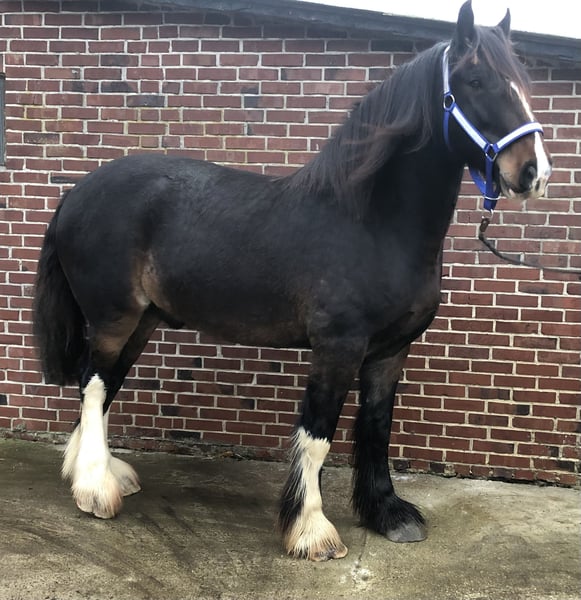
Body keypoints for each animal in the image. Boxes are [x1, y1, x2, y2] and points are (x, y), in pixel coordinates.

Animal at [33, 1, 552, 561]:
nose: (534, 172)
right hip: (114, 317)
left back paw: (102, 475)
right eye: (476, 80)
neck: (374, 224)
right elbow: (318, 435)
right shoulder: (338, 347)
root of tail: (75, 194)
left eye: (523, 84)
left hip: (143, 321)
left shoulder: (390, 351)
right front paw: (311, 530)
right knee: (93, 385)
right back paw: (94, 488)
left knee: (104, 385)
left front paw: (387, 514)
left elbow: (376, 428)